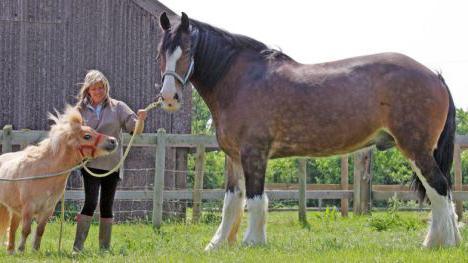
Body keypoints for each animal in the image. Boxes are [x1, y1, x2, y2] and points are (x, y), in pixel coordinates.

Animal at [0, 106, 116, 255]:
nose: (113, 141)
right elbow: (26, 230)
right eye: (87, 136)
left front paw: (35, 251)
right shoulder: (28, 208)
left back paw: (11, 252)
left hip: (14, 210)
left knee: (13, 229)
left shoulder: (47, 210)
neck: (45, 172)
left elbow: (40, 231)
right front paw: (21, 251)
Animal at [156, 12, 460, 252]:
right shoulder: (233, 156)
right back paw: (450, 240)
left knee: (439, 188)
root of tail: (434, 76)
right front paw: (217, 244)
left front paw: (252, 242)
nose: (169, 97)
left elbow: (255, 199)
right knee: (443, 190)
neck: (241, 80)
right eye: (161, 53)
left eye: (187, 51)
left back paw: (436, 243)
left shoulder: (255, 153)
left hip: (415, 148)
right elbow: (232, 201)